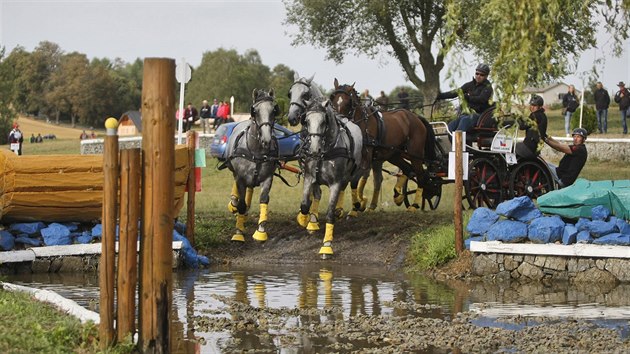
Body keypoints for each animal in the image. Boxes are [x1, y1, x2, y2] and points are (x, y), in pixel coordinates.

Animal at [223, 89, 280, 243]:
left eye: (274, 110)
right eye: (255, 111)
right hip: (235, 173)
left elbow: (263, 200)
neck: (256, 151)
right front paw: (238, 232)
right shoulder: (240, 177)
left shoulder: (268, 177)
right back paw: (234, 205)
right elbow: (241, 204)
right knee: (238, 195)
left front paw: (261, 230)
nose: (266, 140)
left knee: (250, 191)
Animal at [298, 98, 362, 258]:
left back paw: (340, 210)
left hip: (351, 173)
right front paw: (304, 220)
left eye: (323, 121)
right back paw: (312, 222)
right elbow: (304, 204)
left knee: (346, 187)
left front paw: (326, 245)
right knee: (317, 194)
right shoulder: (309, 177)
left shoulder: (335, 183)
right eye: (306, 121)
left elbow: (330, 213)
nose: (314, 149)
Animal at [328, 79, 436, 212]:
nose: (338, 121)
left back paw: (414, 205)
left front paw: (356, 207)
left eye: (348, 102)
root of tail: (416, 117)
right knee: (408, 170)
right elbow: (346, 181)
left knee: (420, 175)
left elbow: (354, 180)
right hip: (394, 154)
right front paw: (342, 208)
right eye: (333, 100)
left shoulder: (366, 157)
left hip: (415, 154)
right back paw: (398, 196)